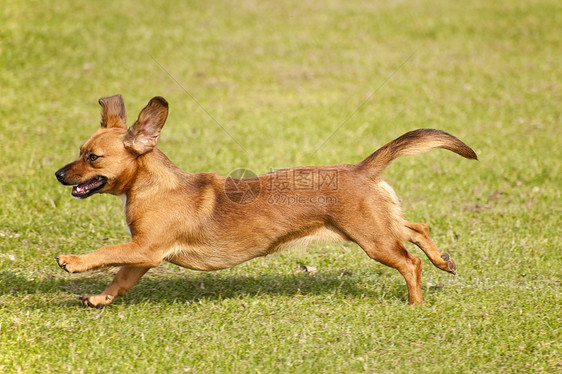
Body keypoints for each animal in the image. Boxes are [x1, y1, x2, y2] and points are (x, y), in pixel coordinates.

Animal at [54, 95, 474, 308]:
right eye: (80, 151)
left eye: (92, 157)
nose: (58, 174)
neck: (154, 186)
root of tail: (360, 169)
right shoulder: (140, 257)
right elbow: (120, 279)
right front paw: (100, 298)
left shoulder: (145, 249)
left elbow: (107, 252)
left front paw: (73, 261)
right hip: (378, 226)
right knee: (416, 228)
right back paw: (443, 261)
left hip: (373, 240)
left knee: (409, 262)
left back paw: (416, 303)